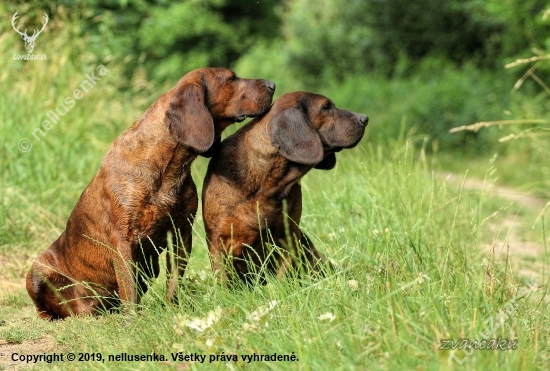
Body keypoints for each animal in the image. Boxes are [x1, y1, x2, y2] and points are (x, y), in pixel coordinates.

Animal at [25, 67, 276, 320]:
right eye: (231, 78)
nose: (273, 85)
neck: (168, 167)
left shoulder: (181, 234)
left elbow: (173, 281)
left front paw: (172, 309)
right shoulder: (124, 240)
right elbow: (129, 288)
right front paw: (133, 321)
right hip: (37, 271)